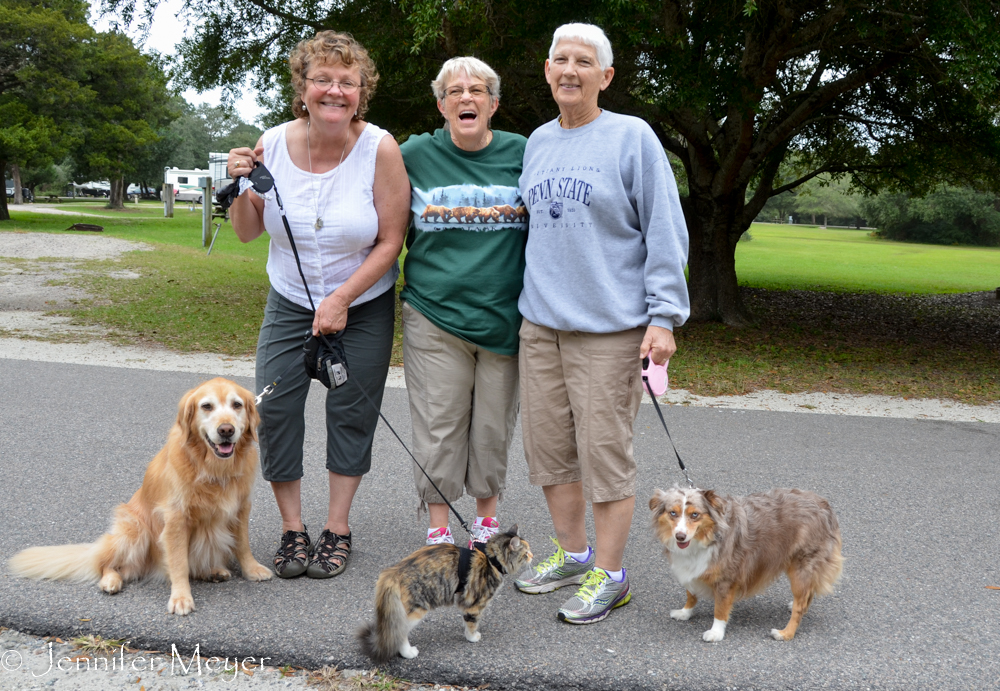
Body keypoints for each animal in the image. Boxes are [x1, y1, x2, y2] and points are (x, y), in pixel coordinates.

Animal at [9, 378, 274, 616]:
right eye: (206, 406)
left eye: (237, 405)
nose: (226, 430)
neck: (214, 470)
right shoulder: (176, 519)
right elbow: (179, 562)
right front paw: (181, 597)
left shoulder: (241, 508)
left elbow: (243, 544)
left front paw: (252, 569)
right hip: (135, 532)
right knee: (109, 564)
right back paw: (110, 581)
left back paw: (213, 571)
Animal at [358, 524, 532, 664]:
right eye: (526, 553)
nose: (532, 556)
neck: (491, 559)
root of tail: (392, 573)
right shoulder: (474, 604)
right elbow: (471, 623)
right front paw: (472, 637)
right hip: (415, 611)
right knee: (400, 633)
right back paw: (408, 652)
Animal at [652, 486, 840, 644]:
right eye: (673, 513)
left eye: (695, 515)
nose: (680, 536)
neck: (707, 537)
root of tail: (823, 504)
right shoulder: (693, 569)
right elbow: (691, 594)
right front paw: (685, 612)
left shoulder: (726, 579)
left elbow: (720, 609)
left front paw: (716, 632)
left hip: (801, 567)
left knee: (800, 606)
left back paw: (786, 633)